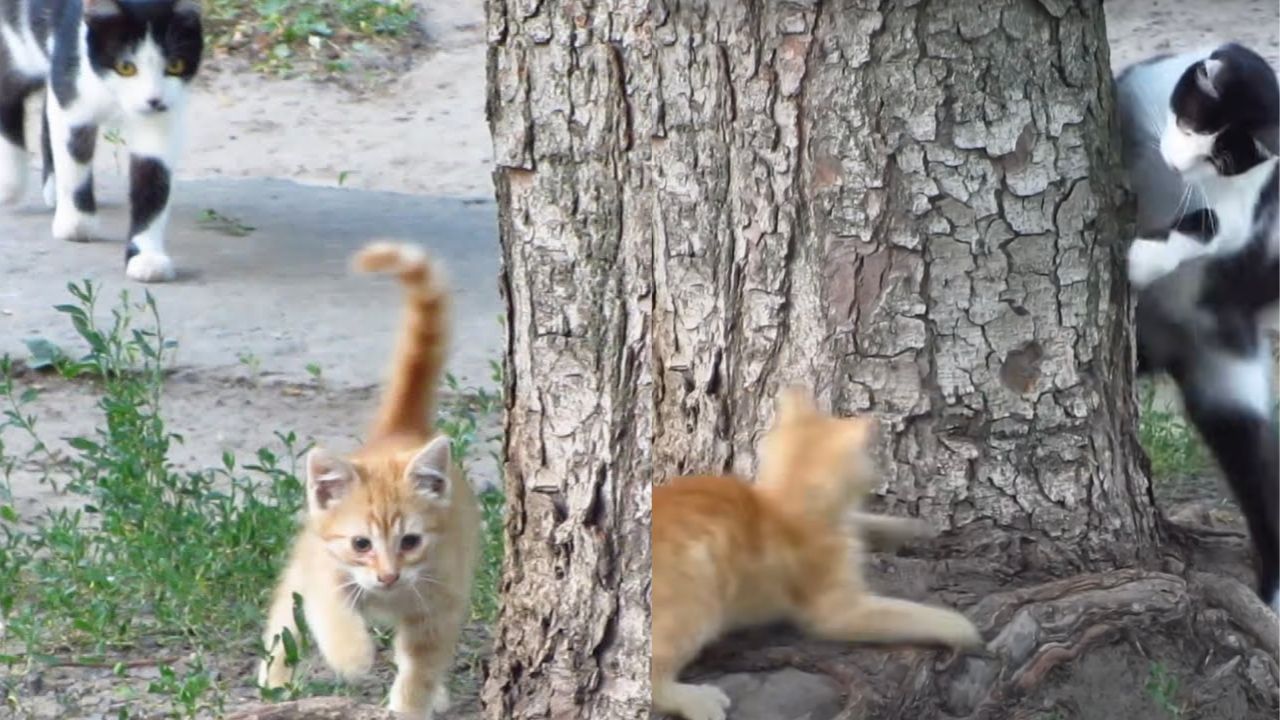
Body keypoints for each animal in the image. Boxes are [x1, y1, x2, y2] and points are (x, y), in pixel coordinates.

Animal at [0, 0, 200, 280]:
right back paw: (10, 182)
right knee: (10, 87)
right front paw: (76, 223)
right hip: (21, 42)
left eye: (175, 65)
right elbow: (74, 155)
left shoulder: (162, 120)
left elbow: (153, 179)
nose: (154, 100)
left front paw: (146, 256)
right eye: (126, 67)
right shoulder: (72, 84)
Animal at [254, 242, 481, 717]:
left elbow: (421, 663)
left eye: (410, 541)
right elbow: (329, 612)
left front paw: (412, 703)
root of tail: (401, 431)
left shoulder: (441, 599)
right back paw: (276, 678)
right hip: (302, 564)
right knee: (285, 614)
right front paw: (352, 655)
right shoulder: (323, 570)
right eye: (361, 544)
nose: (388, 576)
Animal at [650, 386, 977, 717]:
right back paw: (696, 699)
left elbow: (861, 519)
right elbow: (908, 614)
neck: (780, 506)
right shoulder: (838, 611)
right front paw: (963, 628)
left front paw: (910, 528)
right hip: (696, 596)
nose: (880, 475)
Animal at [1116, 41, 1274, 607]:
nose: (1177, 162)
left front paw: (1140, 261)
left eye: (1220, 158)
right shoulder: (1135, 91)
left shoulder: (1241, 212)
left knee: (1256, 469)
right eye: (1186, 121)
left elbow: (1206, 226)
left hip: (1231, 388)